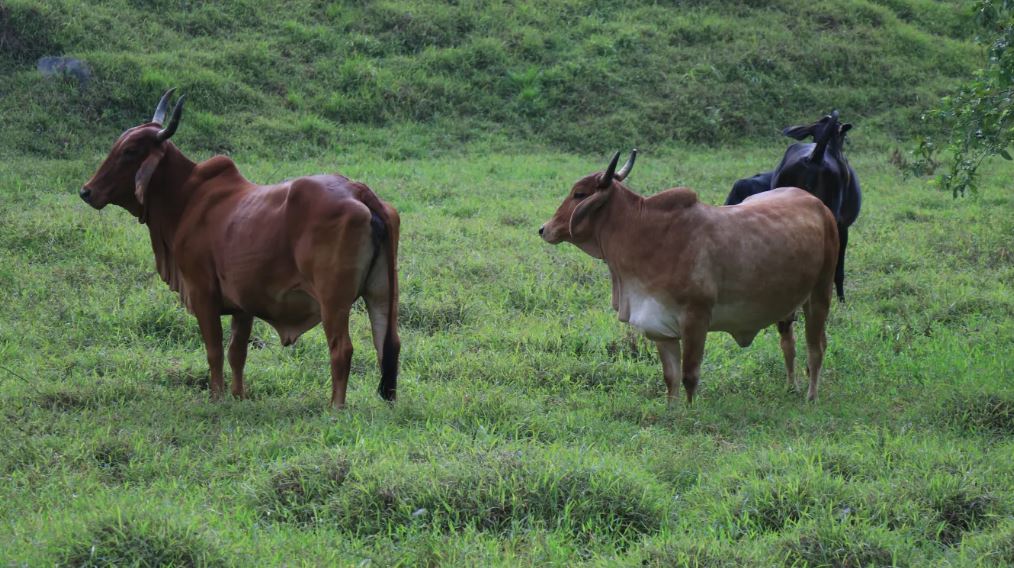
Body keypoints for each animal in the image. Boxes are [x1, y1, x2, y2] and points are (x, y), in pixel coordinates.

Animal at [79, 89, 399, 407]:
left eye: (130, 151)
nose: (86, 191)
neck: (186, 198)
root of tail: (357, 190)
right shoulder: (243, 304)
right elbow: (237, 353)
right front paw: (238, 395)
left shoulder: (203, 294)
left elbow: (214, 351)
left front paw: (217, 397)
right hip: (382, 293)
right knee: (389, 343)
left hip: (333, 301)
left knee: (342, 348)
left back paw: (336, 407)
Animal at [539, 151, 839, 403]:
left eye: (579, 194)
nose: (544, 229)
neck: (642, 233)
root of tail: (819, 205)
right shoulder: (659, 325)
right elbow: (670, 377)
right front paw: (672, 409)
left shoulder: (696, 318)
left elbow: (689, 375)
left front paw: (691, 411)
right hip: (789, 305)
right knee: (790, 344)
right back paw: (791, 387)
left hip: (820, 294)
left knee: (816, 348)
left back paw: (811, 396)